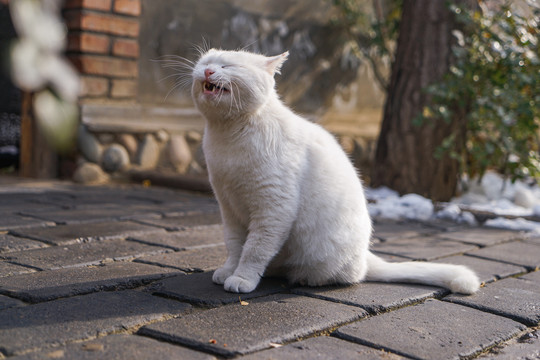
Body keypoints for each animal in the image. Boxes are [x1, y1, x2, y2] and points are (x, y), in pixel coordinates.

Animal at [191, 47, 480, 296]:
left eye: (228, 66)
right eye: (205, 63)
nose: (208, 71)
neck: (228, 136)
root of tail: (365, 256)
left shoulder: (273, 209)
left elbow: (254, 250)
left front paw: (242, 278)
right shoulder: (229, 207)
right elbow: (234, 245)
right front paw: (229, 271)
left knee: (345, 277)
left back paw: (303, 278)